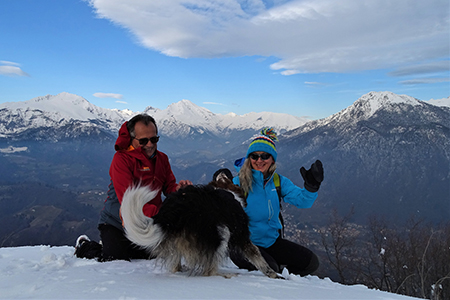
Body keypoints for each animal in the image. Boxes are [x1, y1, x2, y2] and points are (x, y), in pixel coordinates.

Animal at [121, 173, 280, 278]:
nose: (222, 173)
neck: (227, 190)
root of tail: (173, 210)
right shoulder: (241, 234)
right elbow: (257, 255)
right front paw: (272, 274)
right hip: (220, 233)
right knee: (209, 271)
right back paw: (226, 274)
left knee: (176, 263)